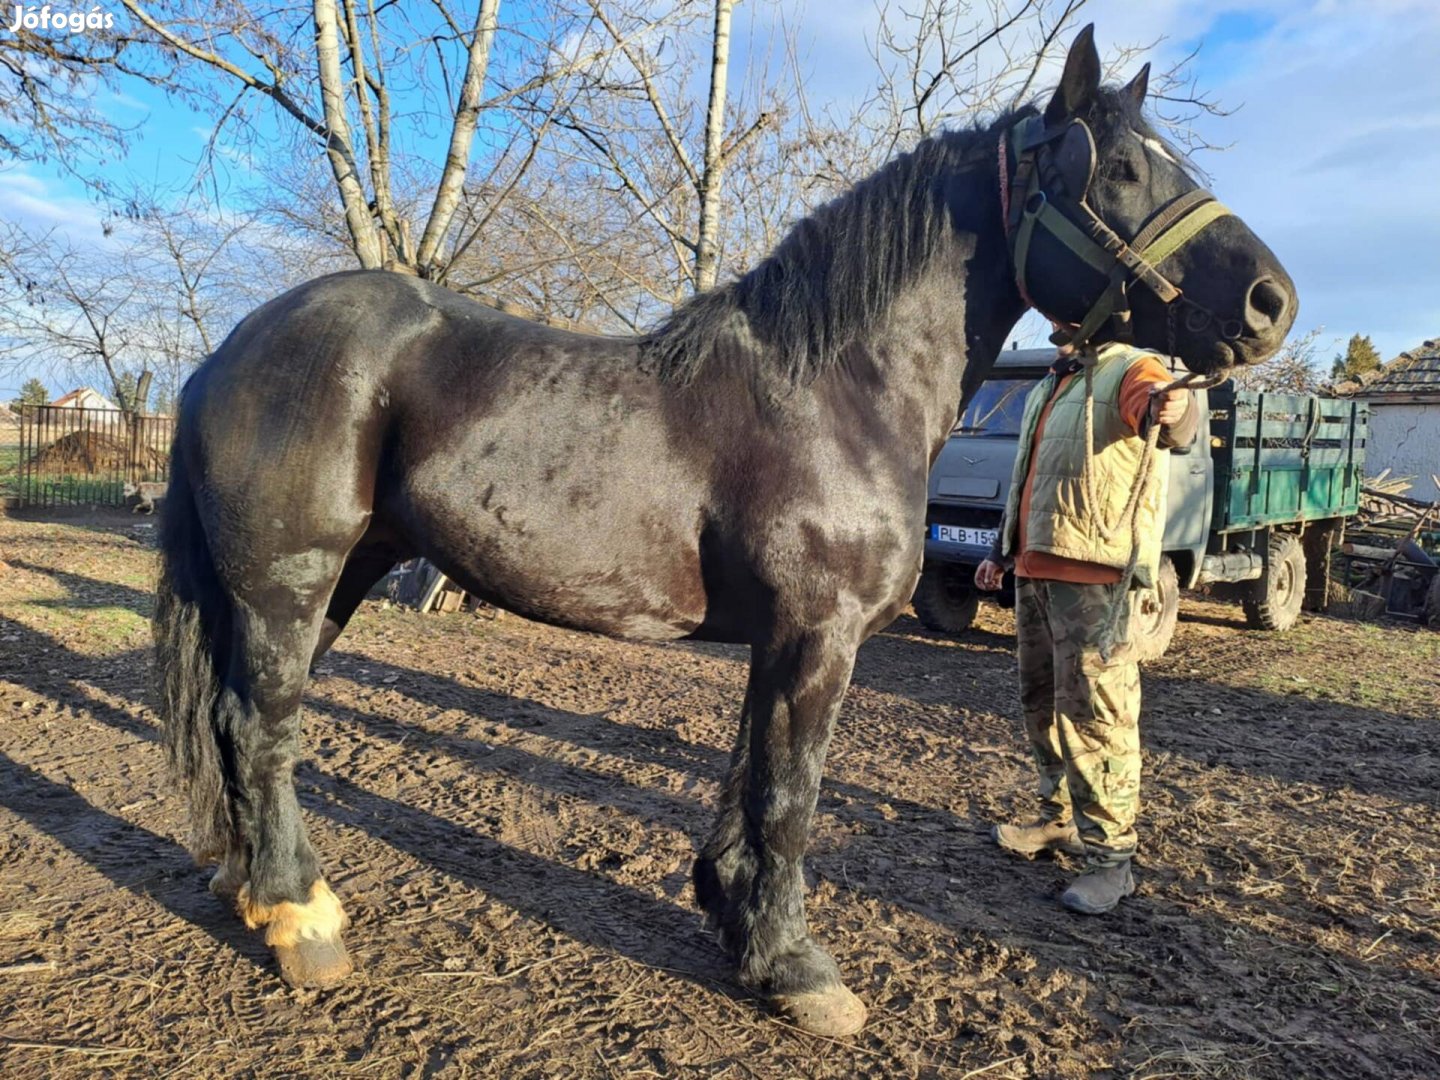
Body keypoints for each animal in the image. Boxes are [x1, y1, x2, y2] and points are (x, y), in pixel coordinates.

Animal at [154, 29, 1296, 1036]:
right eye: (1120, 172)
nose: (1269, 302)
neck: (836, 390)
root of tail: (228, 351)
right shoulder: (817, 638)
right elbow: (791, 797)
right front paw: (797, 971)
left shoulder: (780, 641)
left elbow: (749, 778)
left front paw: (734, 917)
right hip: (289, 582)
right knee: (262, 726)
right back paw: (302, 922)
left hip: (335, 580)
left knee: (238, 722)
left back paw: (253, 890)